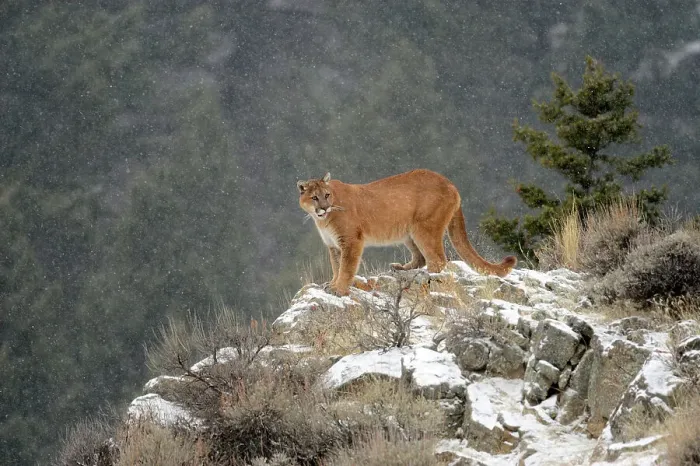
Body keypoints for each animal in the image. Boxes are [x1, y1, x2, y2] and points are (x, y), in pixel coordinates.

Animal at [297, 169, 517, 296]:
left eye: (327, 195)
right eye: (314, 197)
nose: (324, 207)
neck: (322, 220)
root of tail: (450, 183)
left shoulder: (351, 241)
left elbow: (346, 268)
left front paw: (339, 289)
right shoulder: (334, 245)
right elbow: (336, 266)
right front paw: (332, 284)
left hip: (424, 228)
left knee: (438, 260)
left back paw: (425, 277)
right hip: (408, 232)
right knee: (421, 257)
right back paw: (402, 268)